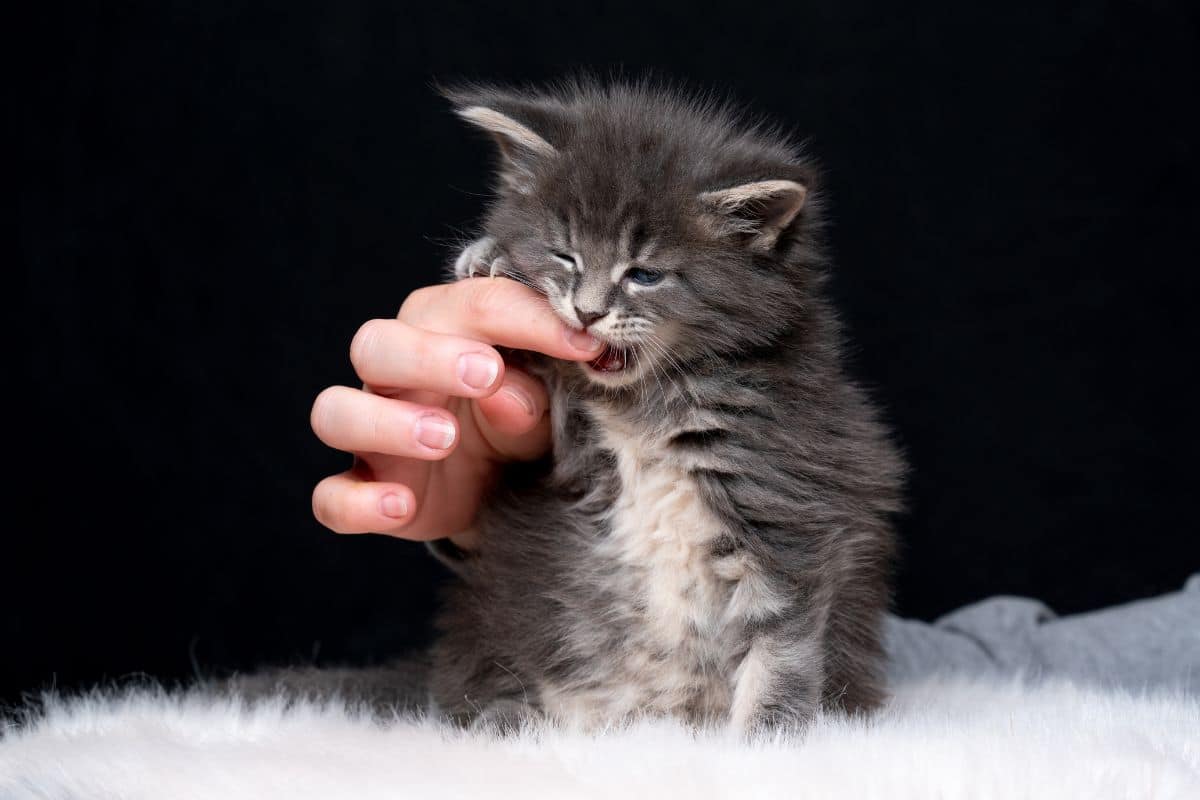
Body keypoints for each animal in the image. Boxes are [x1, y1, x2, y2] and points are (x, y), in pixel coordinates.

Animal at [427, 79, 902, 734]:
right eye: (565, 256)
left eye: (645, 274)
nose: (588, 312)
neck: (653, 399)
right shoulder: (584, 460)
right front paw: (490, 261)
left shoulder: (783, 504)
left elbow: (781, 647)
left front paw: (770, 739)